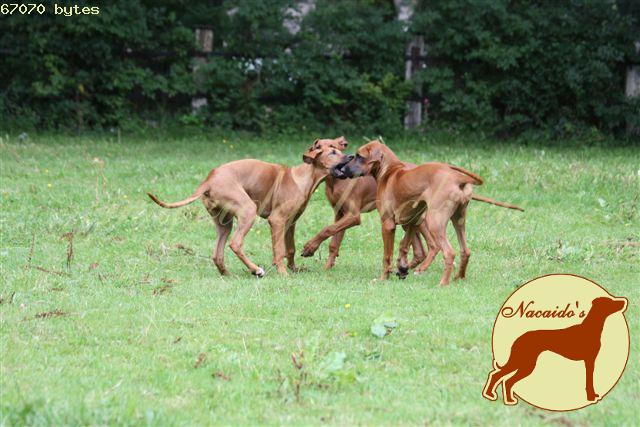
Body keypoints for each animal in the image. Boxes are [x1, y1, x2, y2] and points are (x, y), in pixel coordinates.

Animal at [147, 138, 345, 276]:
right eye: (332, 152)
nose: (350, 156)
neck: (303, 177)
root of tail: (208, 180)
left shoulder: (290, 222)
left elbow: (290, 248)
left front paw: (294, 268)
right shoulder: (277, 220)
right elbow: (279, 250)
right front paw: (283, 272)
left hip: (224, 223)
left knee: (217, 254)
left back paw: (228, 273)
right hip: (248, 210)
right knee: (235, 244)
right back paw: (256, 270)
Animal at [302, 138, 523, 270]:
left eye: (337, 149)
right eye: (326, 150)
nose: (346, 159)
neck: (335, 181)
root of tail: (457, 179)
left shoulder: (353, 216)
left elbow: (326, 230)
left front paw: (309, 248)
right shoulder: (340, 214)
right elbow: (333, 240)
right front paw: (327, 266)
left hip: (426, 220)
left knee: (431, 247)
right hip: (417, 220)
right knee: (421, 250)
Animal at [482, 296, 627, 405]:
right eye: (610, 301)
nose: (624, 302)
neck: (591, 328)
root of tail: (519, 338)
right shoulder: (589, 361)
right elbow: (589, 381)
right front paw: (591, 397)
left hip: (524, 363)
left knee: (504, 379)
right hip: (524, 363)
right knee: (500, 377)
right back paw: (494, 396)